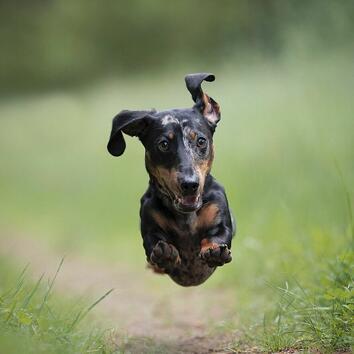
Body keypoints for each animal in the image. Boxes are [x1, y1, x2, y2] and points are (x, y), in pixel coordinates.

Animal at [108, 73, 235, 286]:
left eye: (201, 141)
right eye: (164, 144)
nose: (190, 185)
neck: (186, 217)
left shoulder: (220, 218)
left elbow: (219, 235)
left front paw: (213, 250)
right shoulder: (150, 226)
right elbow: (154, 243)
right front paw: (166, 254)